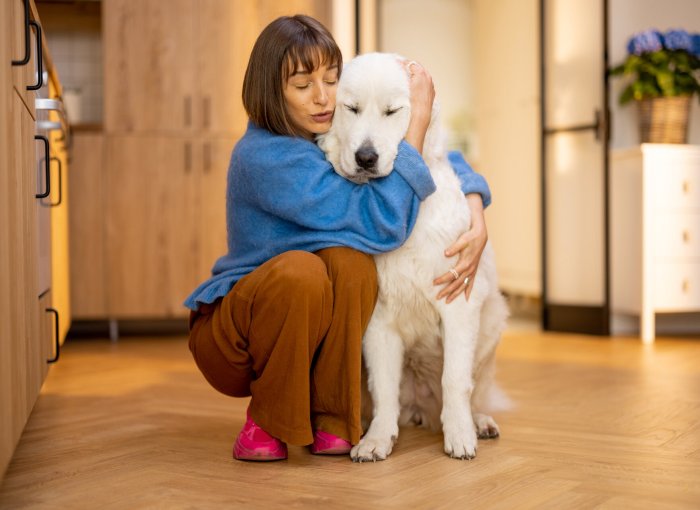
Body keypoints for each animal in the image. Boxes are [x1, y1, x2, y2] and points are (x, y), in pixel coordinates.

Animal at [318, 52, 508, 462]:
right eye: (351, 108)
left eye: (392, 111)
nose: (366, 157)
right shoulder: (378, 323)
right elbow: (384, 389)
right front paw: (376, 440)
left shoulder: (458, 304)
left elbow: (455, 380)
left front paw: (460, 437)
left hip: (490, 332)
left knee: (474, 390)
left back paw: (478, 422)